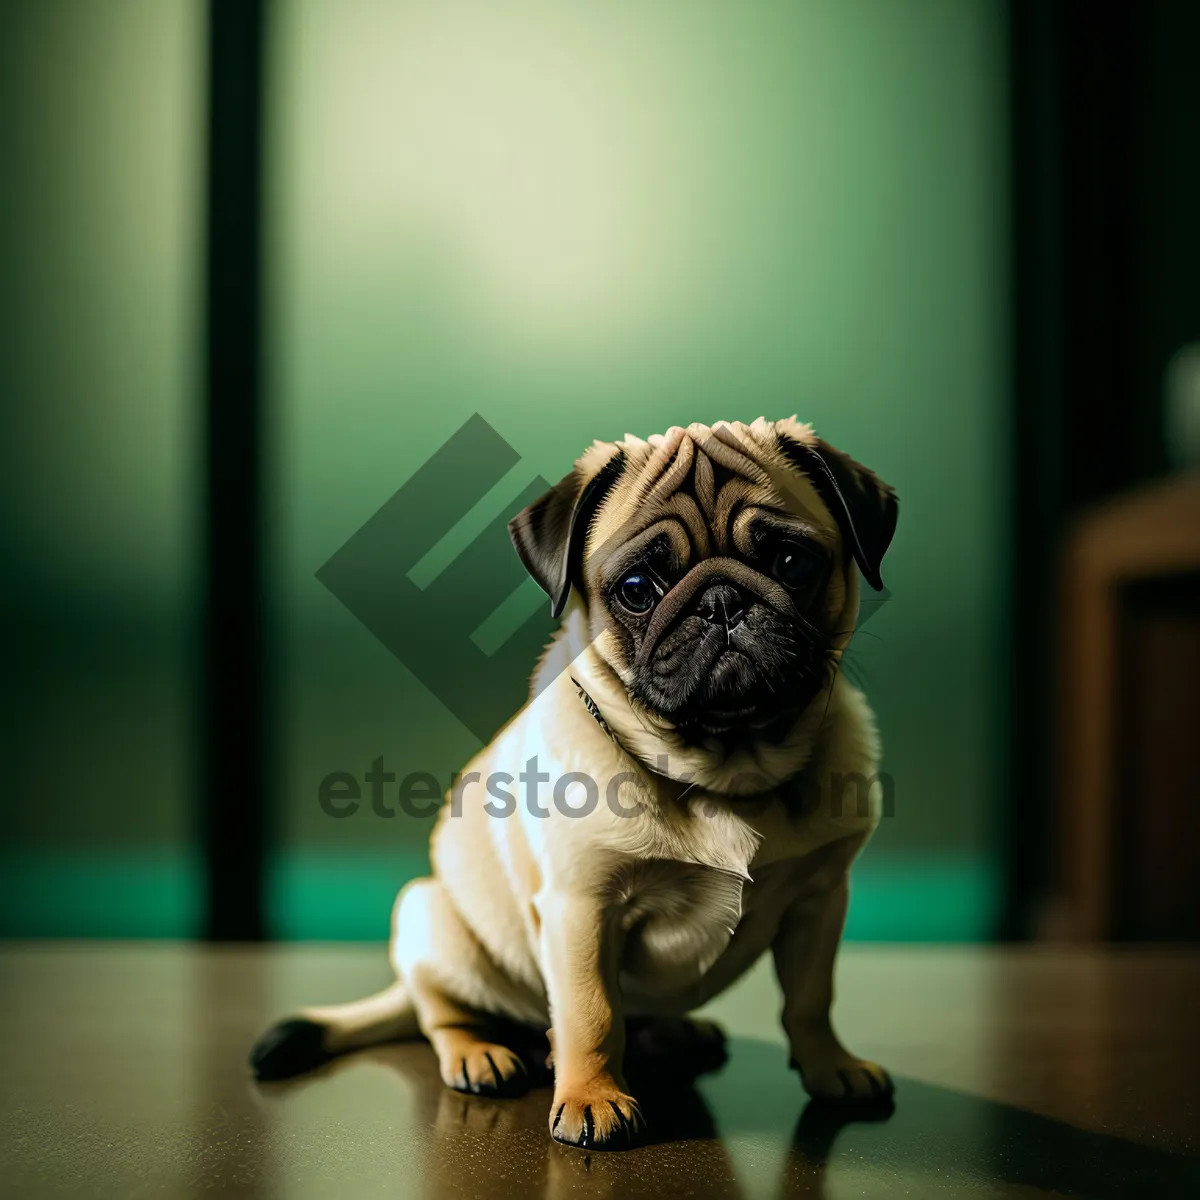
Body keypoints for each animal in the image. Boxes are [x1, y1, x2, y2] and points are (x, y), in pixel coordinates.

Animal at [248, 417, 897, 1147]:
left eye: (791, 562)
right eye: (638, 588)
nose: (722, 600)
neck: (725, 767)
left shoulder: (819, 899)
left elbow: (811, 999)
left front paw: (831, 1067)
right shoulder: (582, 908)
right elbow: (592, 1012)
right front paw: (591, 1099)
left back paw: (678, 1034)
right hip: (432, 918)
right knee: (440, 1013)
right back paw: (482, 1054)